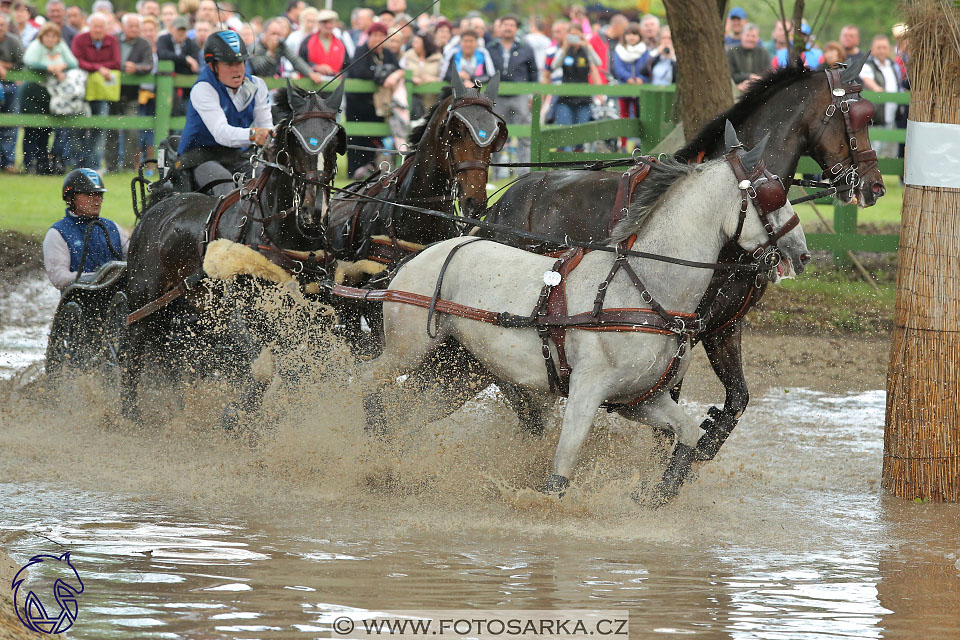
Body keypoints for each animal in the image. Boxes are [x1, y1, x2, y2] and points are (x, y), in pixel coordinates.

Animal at [119, 81, 344, 430]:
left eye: (335, 139)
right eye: (294, 139)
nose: (312, 210)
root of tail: (160, 205)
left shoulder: (308, 311)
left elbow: (304, 365)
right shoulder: (245, 311)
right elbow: (265, 367)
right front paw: (234, 415)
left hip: (181, 308)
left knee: (169, 350)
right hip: (143, 296)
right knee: (132, 345)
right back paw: (130, 415)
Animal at [360, 125, 808, 504]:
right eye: (771, 193)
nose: (802, 253)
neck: (643, 289)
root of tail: (418, 257)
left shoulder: (640, 399)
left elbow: (687, 435)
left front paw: (655, 496)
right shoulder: (587, 388)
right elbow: (563, 465)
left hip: (458, 373)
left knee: (408, 412)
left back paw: (391, 465)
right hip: (409, 349)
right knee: (370, 382)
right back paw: (369, 451)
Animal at [484, 58, 888, 460]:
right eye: (861, 116)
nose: (876, 186)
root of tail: (500, 204)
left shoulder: (724, 326)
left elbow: (737, 400)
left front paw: (704, 440)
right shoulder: (681, 331)